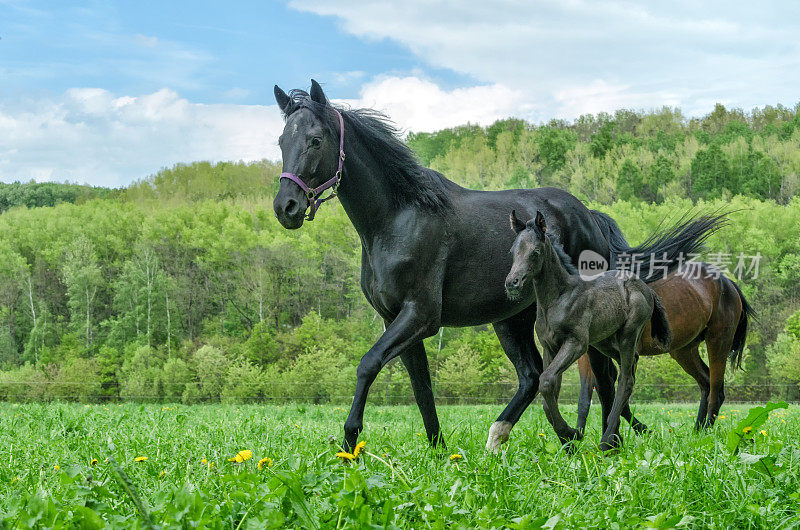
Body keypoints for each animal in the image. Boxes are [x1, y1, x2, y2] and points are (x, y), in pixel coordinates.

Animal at [510, 210, 672, 450]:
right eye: (513, 251)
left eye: (535, 252)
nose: (512, 282)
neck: (558, 298)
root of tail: (647, 289)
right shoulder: (550, 347)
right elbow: (550, 390)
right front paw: (569, 439)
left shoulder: (576, 343)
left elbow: (546, 381)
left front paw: (570, 434)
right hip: (604, 342)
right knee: (628, 368)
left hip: (628, 334)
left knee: (626, 379)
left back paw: (607, 440)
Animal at [572, 262, 752, 432]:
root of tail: (728, 283)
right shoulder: (588, 354)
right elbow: (588, 395)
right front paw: (575, 436)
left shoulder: (627, 353)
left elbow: (616, 392)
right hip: (684, 351)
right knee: (706, 383)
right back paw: (697, 431)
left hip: (718, 340)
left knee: (716, 392)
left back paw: (705, 432)